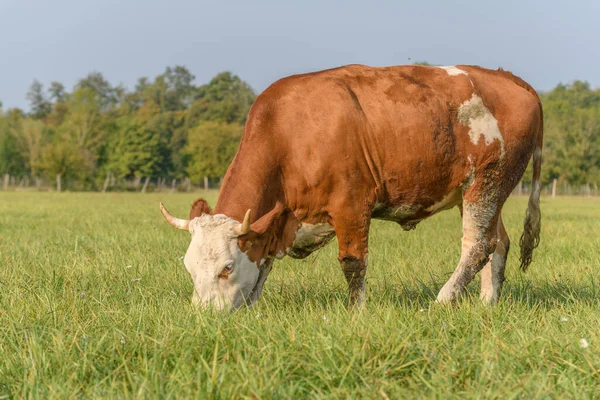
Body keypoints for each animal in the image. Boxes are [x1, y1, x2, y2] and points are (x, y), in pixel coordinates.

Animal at [159, 64, 544, 310]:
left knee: (477, 245)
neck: (290, 136)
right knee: (498, 242)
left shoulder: (352, 204)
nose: (204, 316)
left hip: (488, 181)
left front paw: (356, 312)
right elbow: (263, 264)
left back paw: (443, 300)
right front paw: (252, 306)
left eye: (226, 267)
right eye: (188, 266)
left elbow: (352, 263)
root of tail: (509, 78)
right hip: (476, 191)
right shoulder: (278, 221)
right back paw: (487, 303)